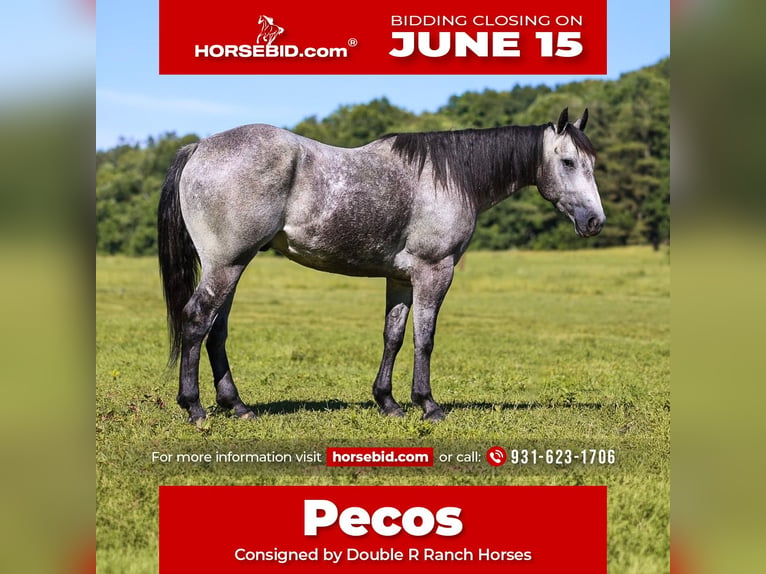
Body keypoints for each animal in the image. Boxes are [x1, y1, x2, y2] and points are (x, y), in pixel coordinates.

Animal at [158, 108, 604, 424]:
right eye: (568, 162)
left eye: (592, 163)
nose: (594, 222)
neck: (450, 178)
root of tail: (198, 148)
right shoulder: (434, 272)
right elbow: (425, 338)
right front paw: (428, 404)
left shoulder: (400, 278)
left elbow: (393, 336)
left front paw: (388, 401)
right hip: (226, 265)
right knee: (197, 320)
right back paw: (194, 408)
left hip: (233, 267)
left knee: (216, 331)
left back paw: (237, 406)